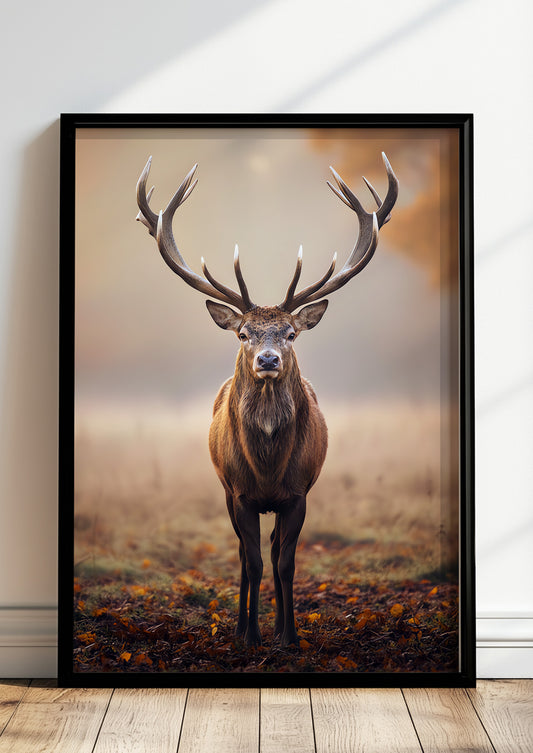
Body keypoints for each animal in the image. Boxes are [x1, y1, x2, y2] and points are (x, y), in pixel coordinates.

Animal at [136, 153, 398, 647]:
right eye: (244, 333)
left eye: (291, 333)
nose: (269, 359)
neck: (269, 466)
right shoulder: (239, 492)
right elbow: (252, 561)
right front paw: (250, 635)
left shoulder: (298, 493)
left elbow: (286, 563)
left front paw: (288, 635)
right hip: (224, 489)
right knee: (245, 556)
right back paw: (245, 625)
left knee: (275, 552)